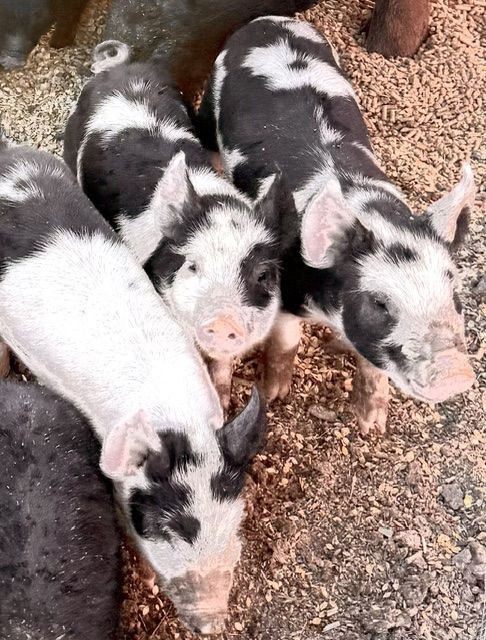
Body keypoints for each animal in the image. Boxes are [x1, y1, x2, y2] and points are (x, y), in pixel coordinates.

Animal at [64, 41, 297, 409]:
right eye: (193, 266)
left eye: (263, 275)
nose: (223, 320)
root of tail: (119, 69)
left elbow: (223, 362)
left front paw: (225, 399)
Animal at [198, 16, 477, 434]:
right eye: (380, 303)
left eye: (454, 294)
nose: (454, 372)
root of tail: (269, 21)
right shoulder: (285, 291)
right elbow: (285, 343)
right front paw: (276, 395)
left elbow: (372, 365)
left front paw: (371, 425)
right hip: (208, 103)